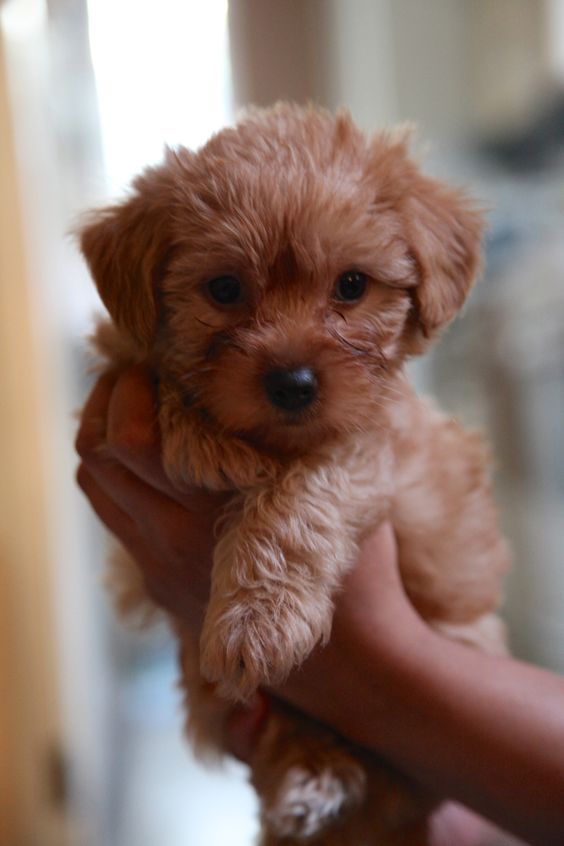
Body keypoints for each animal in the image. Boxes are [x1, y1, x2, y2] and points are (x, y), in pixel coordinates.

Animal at [80, 106, 512, 846]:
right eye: (224, 289)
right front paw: (200, 436)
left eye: (352, 285)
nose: (293, 384)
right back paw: (310, 779)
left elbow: (301, 502)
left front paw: (257, 620)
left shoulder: (372, 445)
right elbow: (140, 366)